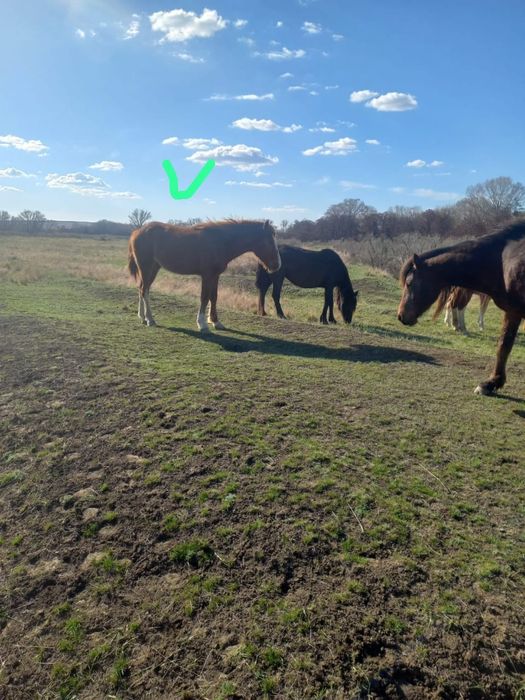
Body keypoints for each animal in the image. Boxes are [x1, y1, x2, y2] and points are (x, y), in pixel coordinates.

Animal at [128, 219, 281, 332]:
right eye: (268, 241)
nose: (277, 265)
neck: (220, 242)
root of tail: (137, 231)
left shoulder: (215, 276)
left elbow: (214, 297)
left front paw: (216, 321)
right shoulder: (206, 276)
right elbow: (204, 298)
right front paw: (202, 324)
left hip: (153, 268)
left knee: (142, 289)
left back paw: (142, 317)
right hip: (146, 268)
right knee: (145, 290)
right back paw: (150, 319)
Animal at [398, 218, 525, 395]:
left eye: (409, 283)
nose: (401, 315)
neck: (502, 259)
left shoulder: (514, 310)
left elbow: (504, 345)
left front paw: (491, 383)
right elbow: (503, 345)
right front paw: (492, 383)